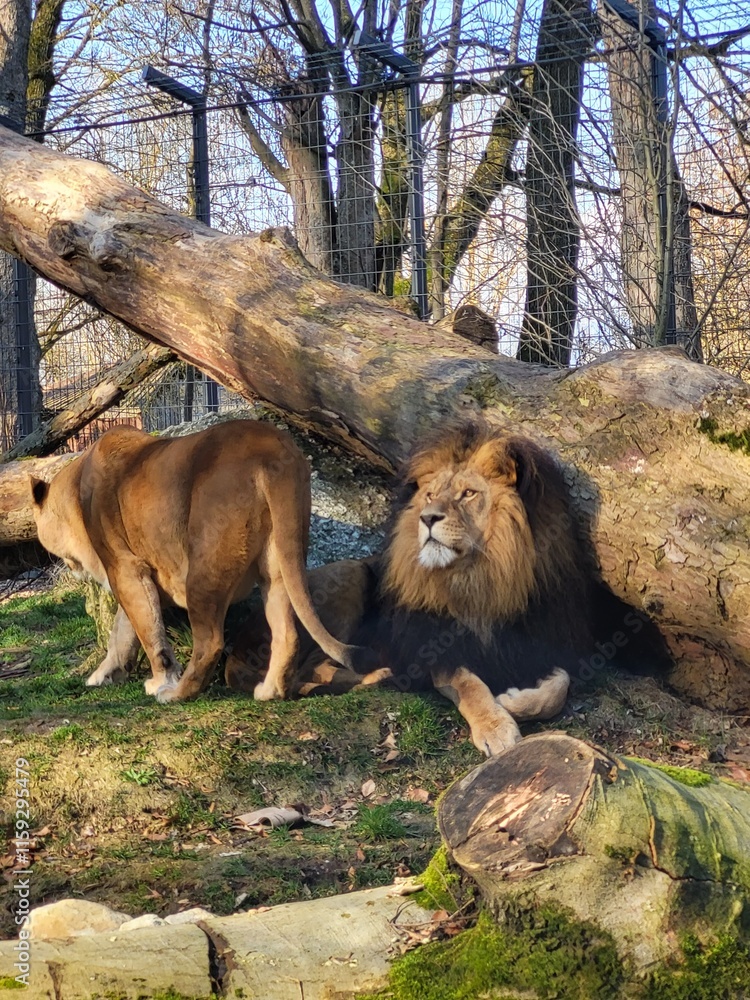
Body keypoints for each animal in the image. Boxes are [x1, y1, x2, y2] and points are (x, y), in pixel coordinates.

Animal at [30, 420, 372, 704]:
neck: (76, 488)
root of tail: (271, 445)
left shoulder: (125, 567)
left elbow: (147, 631)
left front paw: (159, 681)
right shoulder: (132, 573)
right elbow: (124, 631)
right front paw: (106, 673)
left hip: (203, 566)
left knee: (210, 642)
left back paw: (176, 694)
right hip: (279, 565)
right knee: (287, 633)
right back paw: (269, 692)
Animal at [227, 422, 593, 754]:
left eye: (468, 493)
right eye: (430, 495)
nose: (428, 517)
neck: (479, 578)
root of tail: (238, 642)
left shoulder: (547, 645)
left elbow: (559, 686)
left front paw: (514, 699)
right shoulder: (432, 649)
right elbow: (471, 685)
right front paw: (496, 726)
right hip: (349, 575)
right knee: (313, 666)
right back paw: (382, 675)